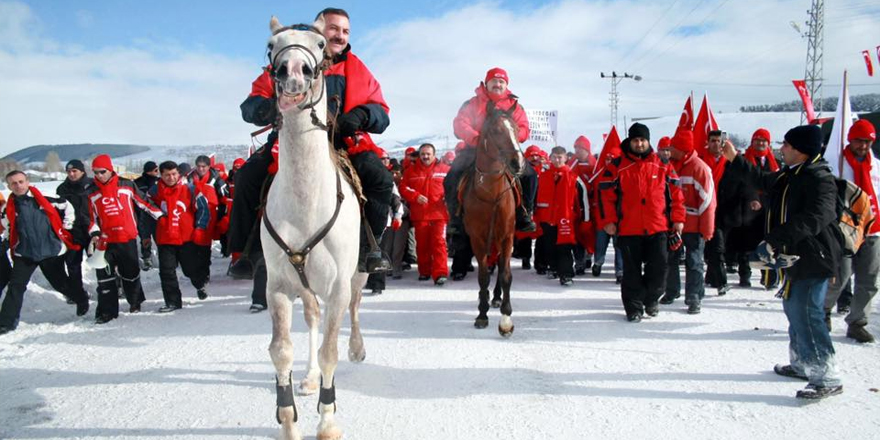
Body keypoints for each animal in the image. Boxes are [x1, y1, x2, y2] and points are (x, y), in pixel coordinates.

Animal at [262, 14, 370, 440]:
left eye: (321, 44)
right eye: (271, 46)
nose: (292, 71)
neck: (305, 200)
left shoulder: (338, 285)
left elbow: (330, 352)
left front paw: (327, 421)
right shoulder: (277, 285)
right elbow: (281, 351)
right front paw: (288, 419)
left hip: (356, 275)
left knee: (354, 309)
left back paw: (357, 348)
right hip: (304, 284)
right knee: (311, 317)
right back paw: (307, 378)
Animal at [460, 104, 524, 336]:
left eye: (516, 129)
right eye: (496, 130)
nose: (518, 163)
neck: (491, 196)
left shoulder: (507, 236)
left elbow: (505, 275)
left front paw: (506, 319)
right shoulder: (477, 239)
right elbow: (483, 276)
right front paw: (482, 314)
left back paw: (496, 298)